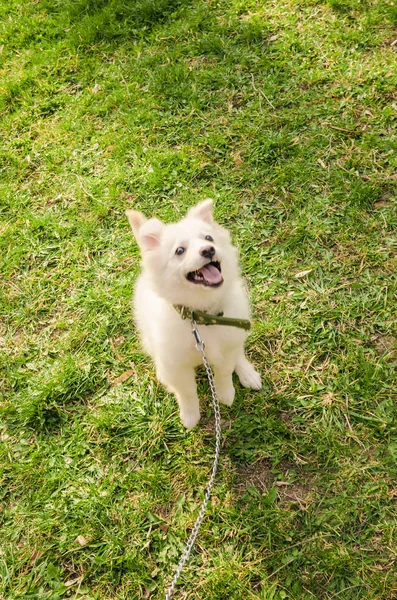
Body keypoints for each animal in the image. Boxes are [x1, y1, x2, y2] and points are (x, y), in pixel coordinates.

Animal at [126, 200, 260, 426]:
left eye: (208, 238)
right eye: (180, 250)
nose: (208, 250)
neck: (202, 315)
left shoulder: (226, 347)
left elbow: (224, 373)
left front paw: (225, 394)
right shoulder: (176, 365)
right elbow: (187, 392)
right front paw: (190, 416)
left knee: (238, 352)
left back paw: (248, 373)